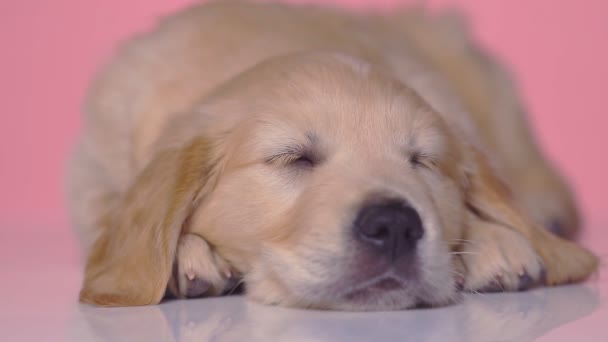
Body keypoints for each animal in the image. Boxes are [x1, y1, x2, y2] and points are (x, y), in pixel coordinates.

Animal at [67, 0, 600, 310]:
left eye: (422, 161)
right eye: (294, 158)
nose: (394, 225)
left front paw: (493, 240)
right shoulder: (94, 167)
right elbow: (111, 213)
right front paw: (185, 252)